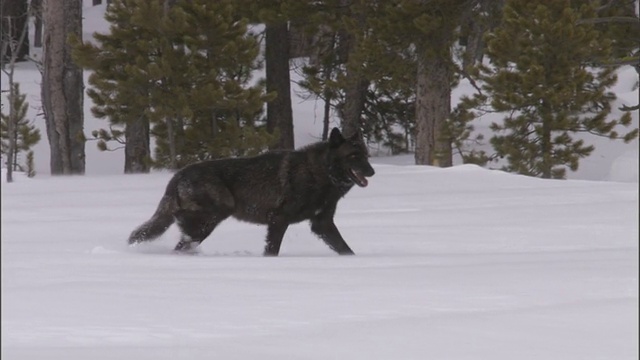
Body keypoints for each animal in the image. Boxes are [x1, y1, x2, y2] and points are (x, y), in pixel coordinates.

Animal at [127, 126, 376, 256]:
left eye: (365, 155)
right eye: (353, 156)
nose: (372, 171)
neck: (321, 173)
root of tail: (177, 176)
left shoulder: (322, 224)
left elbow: (345, 248)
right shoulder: (279, 219)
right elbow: (272, 249)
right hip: (211, 219)